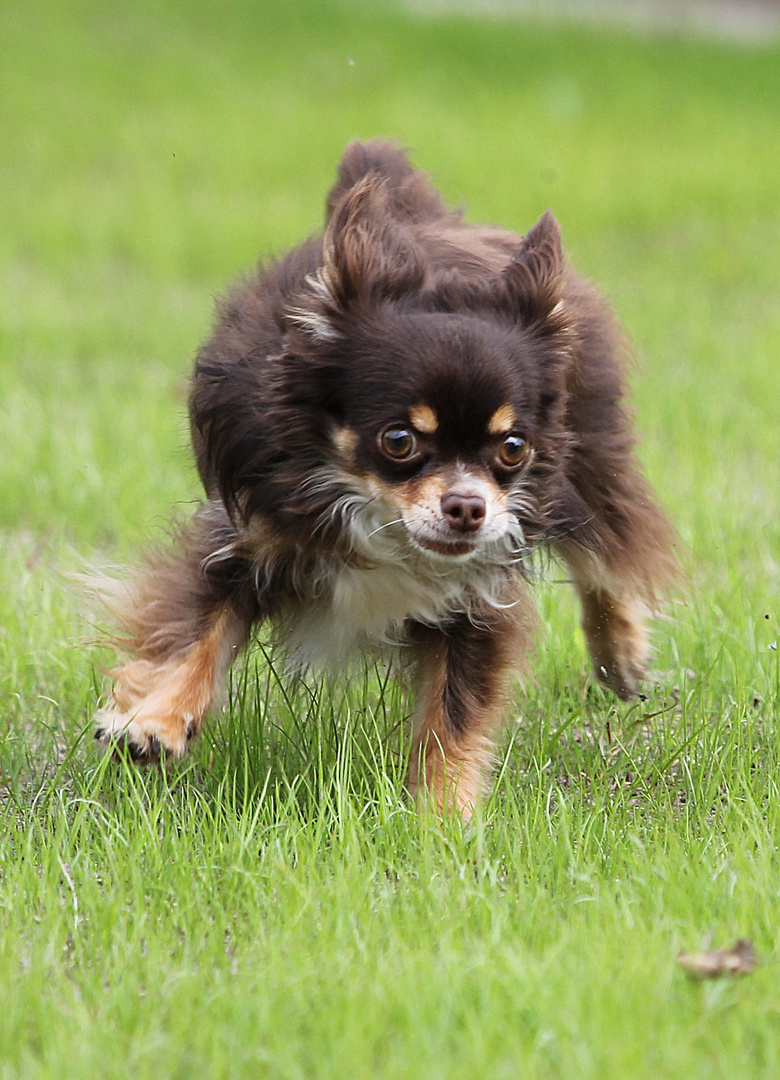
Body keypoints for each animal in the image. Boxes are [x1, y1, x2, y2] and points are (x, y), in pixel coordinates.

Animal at [92, 139, 674, 812]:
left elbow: (453, 715)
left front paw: (442, 816)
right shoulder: (247, 539)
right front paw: (154, 721)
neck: (380, 521)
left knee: (604, 548)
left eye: (512, 448)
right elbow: (195, 633)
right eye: (399, 441)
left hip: (584, 464)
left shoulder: (479, 596)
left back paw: (619, 653)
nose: (468, 507)